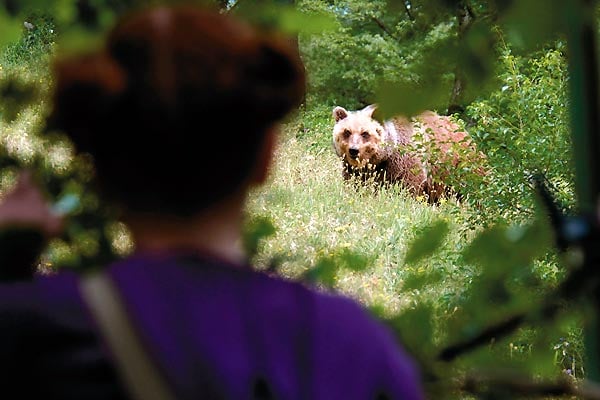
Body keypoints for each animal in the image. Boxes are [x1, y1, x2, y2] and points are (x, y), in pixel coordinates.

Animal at [330, 104, 486, 202]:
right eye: (347, 132)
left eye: (365, 133)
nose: (353, 150)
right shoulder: (356, 169)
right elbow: (355, 183)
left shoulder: (405, 158)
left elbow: (409, 184)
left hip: (462, 166)